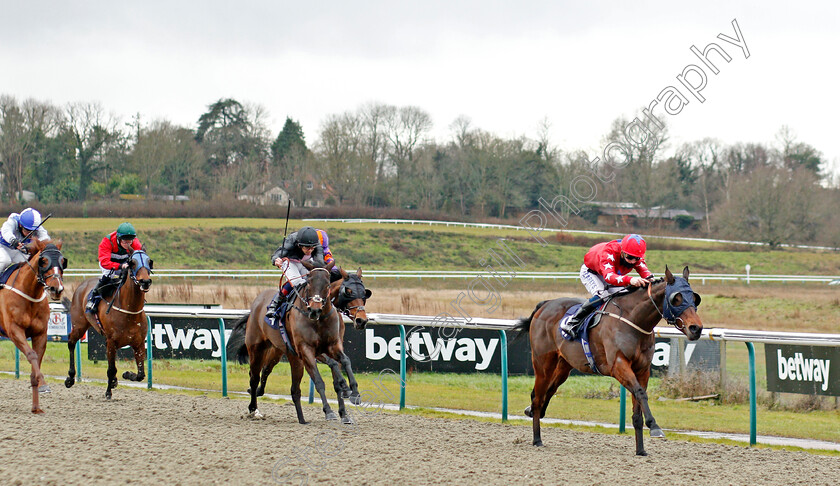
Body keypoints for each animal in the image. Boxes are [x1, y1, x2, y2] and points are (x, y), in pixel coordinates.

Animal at [0, 239, 66, 414]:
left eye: (63, 261)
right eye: (44, 261)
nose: (57, 289)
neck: (29, 295)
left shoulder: (40, 334)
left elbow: (37, 359)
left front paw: (37, 405)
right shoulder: (15, 330)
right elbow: (31, 355)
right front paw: (42, 381)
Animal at [64, 251, 154, 398]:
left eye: (149, 261)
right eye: (132, 262)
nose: (145, 282)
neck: (130, 311)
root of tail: (83, 284)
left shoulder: (139, 343)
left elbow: (141, 374)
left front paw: (126, 374)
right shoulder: (112, 342)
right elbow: (111, 369)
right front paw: (108, 392)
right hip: (79, 325)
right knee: (71, 342)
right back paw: (70, 378)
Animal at [233, 268, 354, 424]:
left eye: (364, 292)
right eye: (348, 291)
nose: (362, 320)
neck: (320, 319)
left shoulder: (331, 346)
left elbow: (342, 362)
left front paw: (348, 400)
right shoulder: (307, 350)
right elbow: (321, 378)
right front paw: (330, 410)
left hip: (282, 353)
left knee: (274, 375)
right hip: (256, 349)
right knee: (254, 378)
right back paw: (253, 409)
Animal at [516, 266, 704, 456]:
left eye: (694, 298)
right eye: (676, 298)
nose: (696, 328)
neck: (633, 320)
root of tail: (544, 305)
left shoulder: (642, 370)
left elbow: (637, 409)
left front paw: (641, 450)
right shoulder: (618, 365)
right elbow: (640, 393)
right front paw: (654, 427)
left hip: (564, 366)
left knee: (549, 391)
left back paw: (531, 412)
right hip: (543, 364)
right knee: (537, 397)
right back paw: (537, 439)